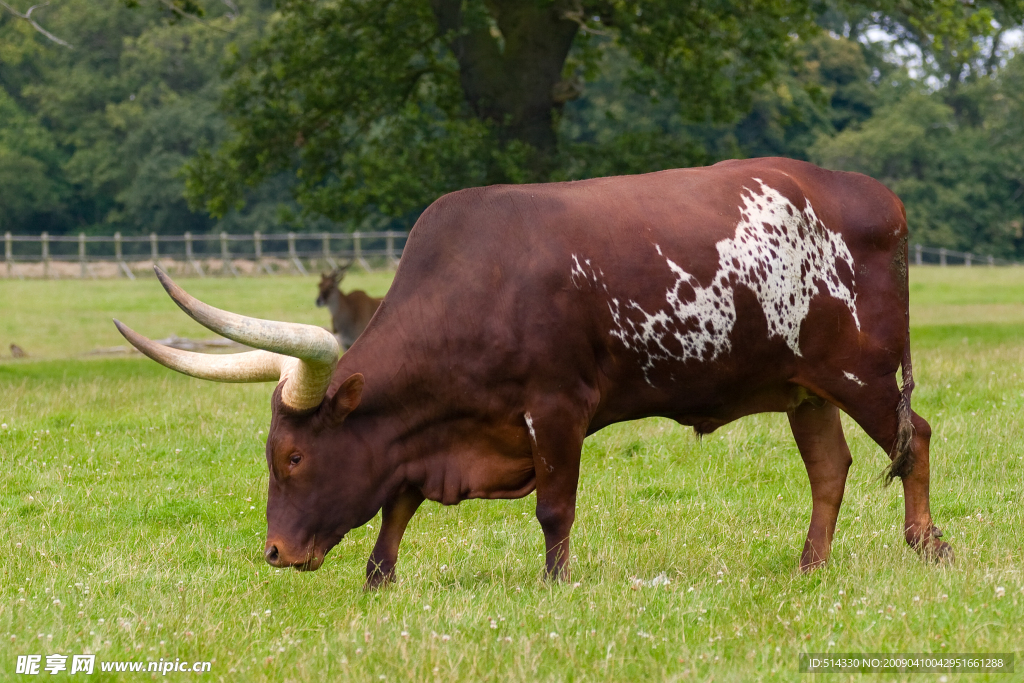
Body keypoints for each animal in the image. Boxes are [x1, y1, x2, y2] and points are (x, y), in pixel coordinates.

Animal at [116, 158, 954, 589]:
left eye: (293, 457)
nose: (277, 553)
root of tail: (879, 196)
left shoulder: (557, 409)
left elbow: (555, 507)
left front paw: (557, 582)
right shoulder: (431, 435)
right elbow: (398, 502)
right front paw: (380, 575)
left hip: (863, 371)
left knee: (914, 436)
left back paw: (926, 543)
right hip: (804, 385)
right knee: (830, 467)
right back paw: (809, 565)